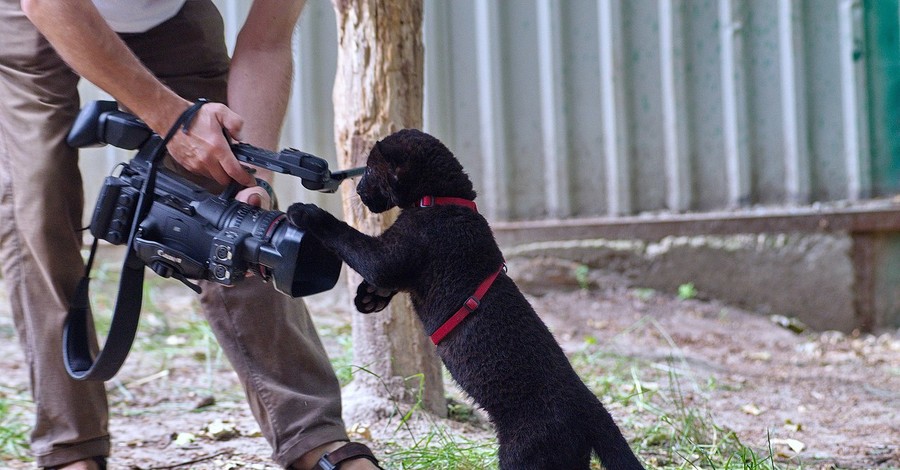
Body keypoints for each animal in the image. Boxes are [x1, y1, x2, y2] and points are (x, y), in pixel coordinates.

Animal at [284, 129, 644, 470]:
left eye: (371, 170)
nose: (358, 191)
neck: (443, 200)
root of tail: (592, 409)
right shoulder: (398, 264)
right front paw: (369, 299)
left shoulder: (389, 256)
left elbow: (350, 239)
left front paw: (306, 212)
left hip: (524, 454)